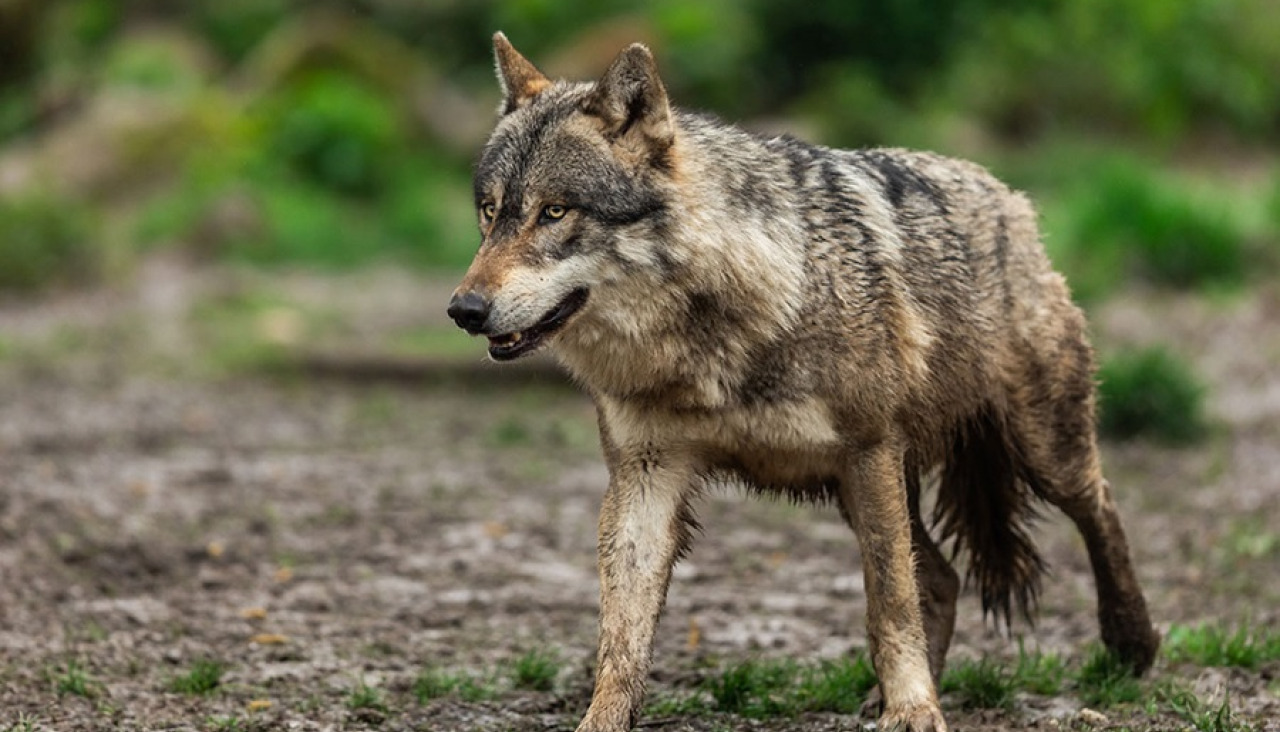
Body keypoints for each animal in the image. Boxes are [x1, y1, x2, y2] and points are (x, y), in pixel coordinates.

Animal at [447, 33, 1160, 732]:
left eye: (554, 212)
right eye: (489, 212)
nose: (464, 310)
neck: (713, 335)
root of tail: (1009, 196)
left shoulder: (867, 451)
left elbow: (888, 603)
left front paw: (914, 710)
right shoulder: (644, 473)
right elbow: (622, 633)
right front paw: (602, 720)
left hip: (1034, 452)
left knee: (1099, 505)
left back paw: (1132, 643)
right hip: (861, 488)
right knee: (944, 579)